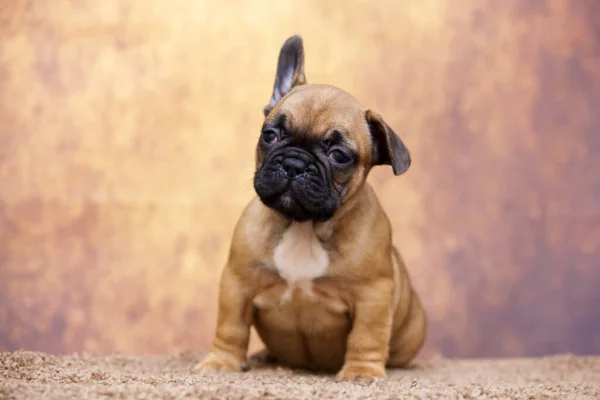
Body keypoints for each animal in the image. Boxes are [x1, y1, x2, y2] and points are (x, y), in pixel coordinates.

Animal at [197, 35, 426, 382]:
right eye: (270, 135)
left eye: (340, 155)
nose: (294, 164)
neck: (302, 225)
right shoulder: (237, 282)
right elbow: (230, 326)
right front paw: (221, 363)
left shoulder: (373, 295)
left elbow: (367, 335)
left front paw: (361, 372)